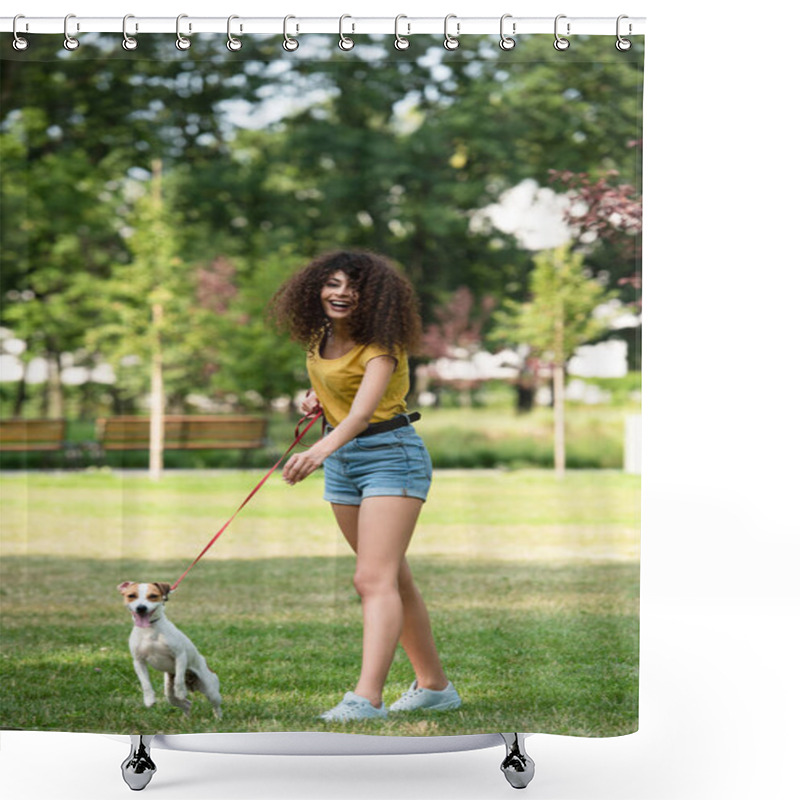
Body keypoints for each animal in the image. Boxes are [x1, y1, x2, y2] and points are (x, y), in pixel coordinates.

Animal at [117, 580, 222, 720]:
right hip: (170, 696)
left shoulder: (180, 655)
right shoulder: (138, 661)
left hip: (211, 690)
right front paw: (149, 699)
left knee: (216, 706)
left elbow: (179, 679)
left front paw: (180, 691)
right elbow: (145, 683)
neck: (150, 630)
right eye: (131, 595)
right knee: (187, 704)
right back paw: (186, 720)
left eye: (153, 596)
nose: (141, 608)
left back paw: (218, 719)